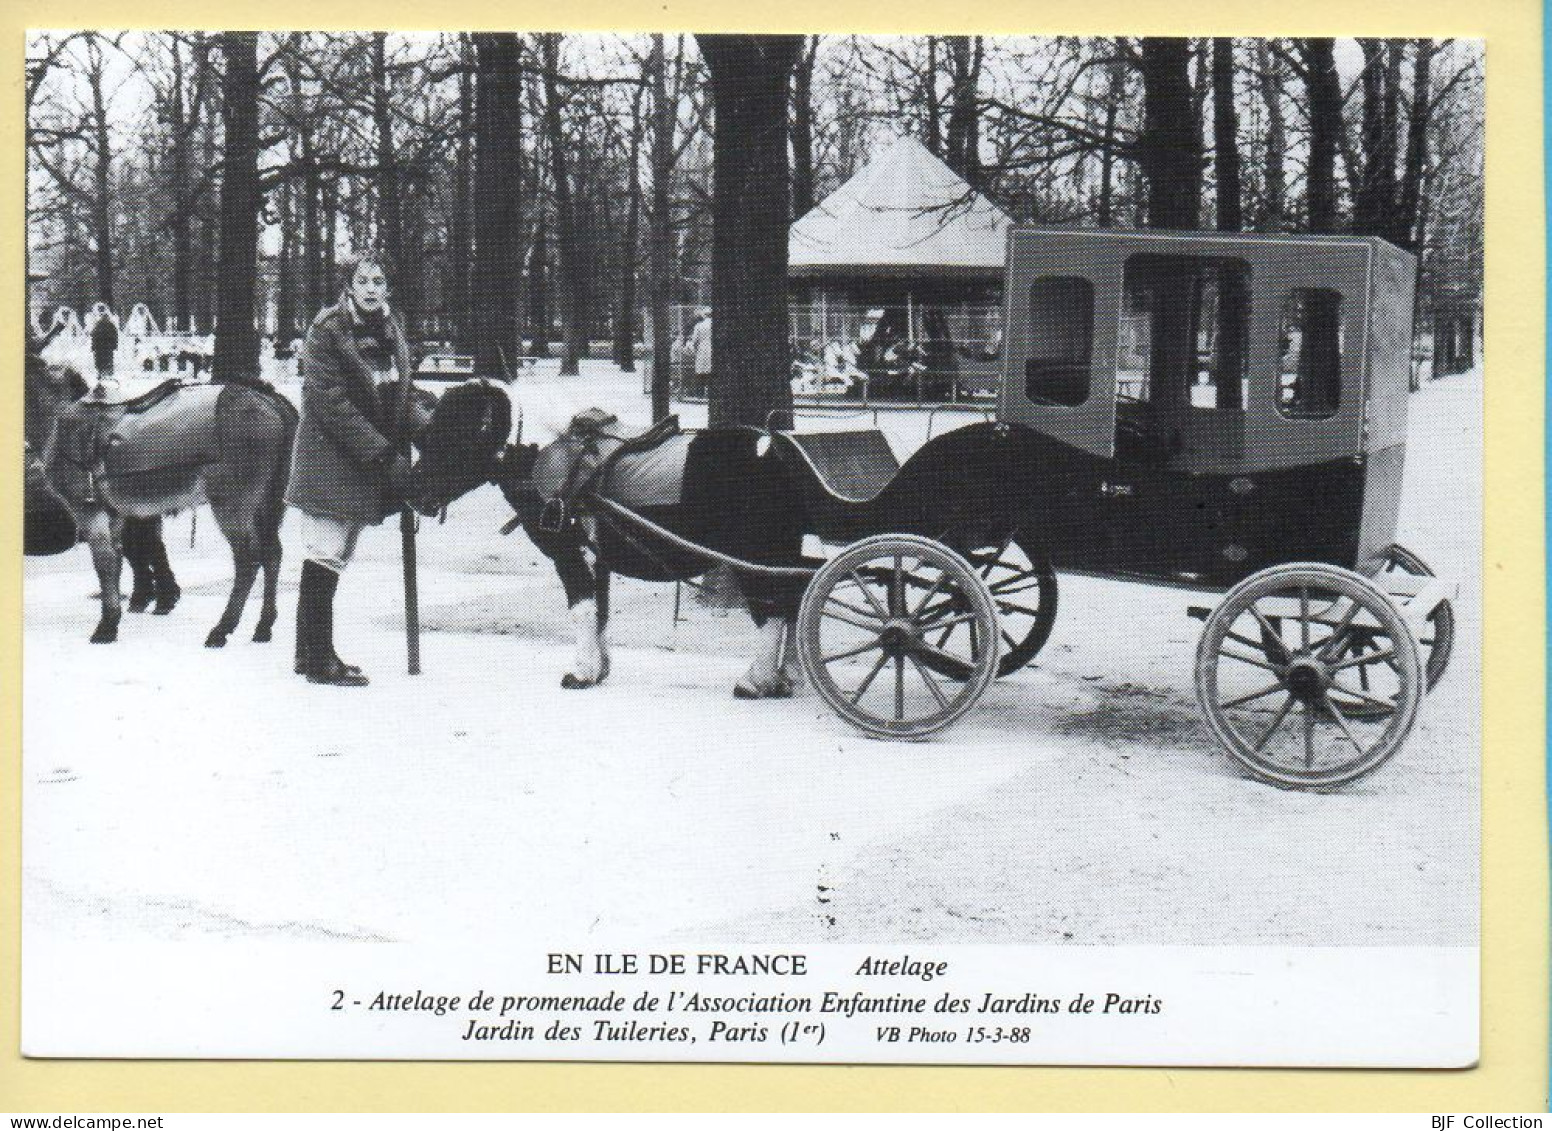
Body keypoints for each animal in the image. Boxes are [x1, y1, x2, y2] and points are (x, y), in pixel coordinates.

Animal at [26, 350, 299, 651]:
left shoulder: (88, 509)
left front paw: (106, 626)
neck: (59, 421)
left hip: (233, 503)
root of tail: (271, 398)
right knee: (273, 553)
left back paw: (222, 628)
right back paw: (263, 626)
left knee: (248, 558)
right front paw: (117, 616)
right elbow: (117, 560)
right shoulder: (115, 513)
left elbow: (105, 562)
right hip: (270, 502)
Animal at [406, 381, 807, 698]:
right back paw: (787, 677)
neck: (546, 458)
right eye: (426, 434)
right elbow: (599, 609)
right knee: (793, 601)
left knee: (773, 608)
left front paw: (581, 671)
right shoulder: (598, 556)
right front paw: (599, 668)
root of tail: (777, 451)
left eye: (454, 436)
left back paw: (757, 680)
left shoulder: (568, 552)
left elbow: (582, 605)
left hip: (757, 555)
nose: (412, 492)